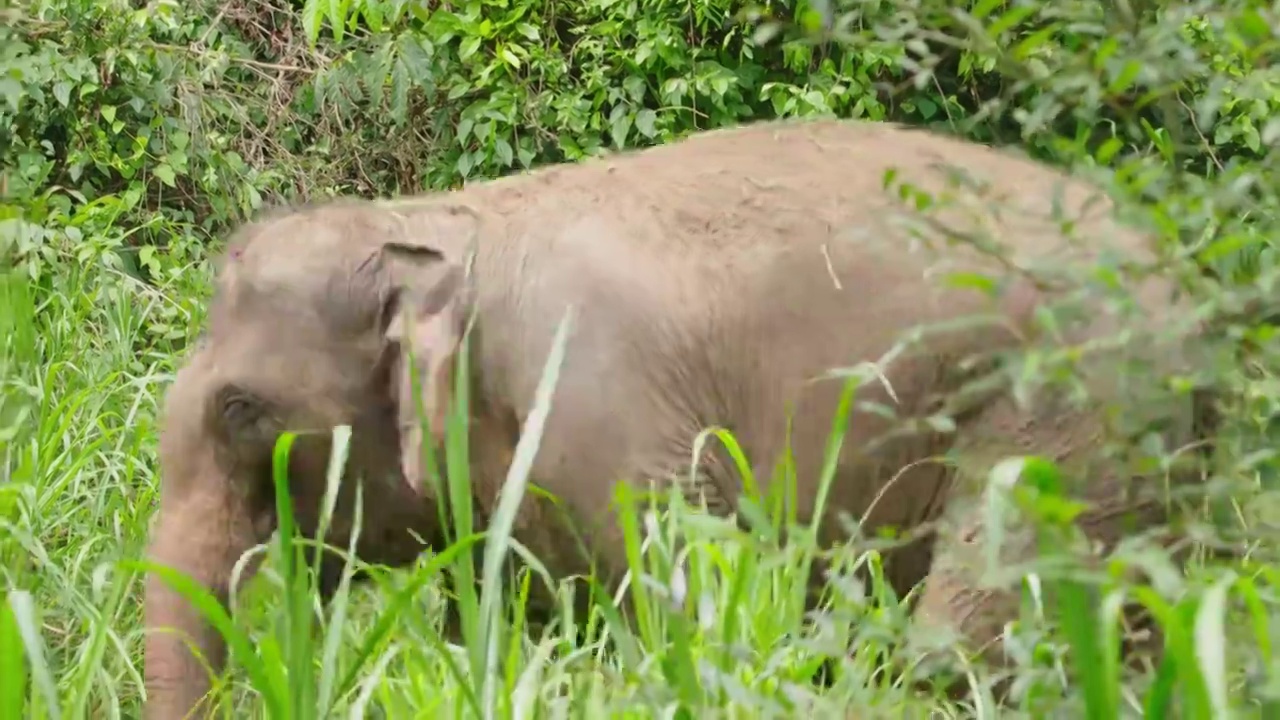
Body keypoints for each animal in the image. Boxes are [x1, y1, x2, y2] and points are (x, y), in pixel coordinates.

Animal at [142, 114, 1218, 712]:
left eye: (242, 409)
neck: (438, 222)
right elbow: (518, 630)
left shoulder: (603, 415)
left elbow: (685, 610)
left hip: (1070, 410)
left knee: (970, 637)